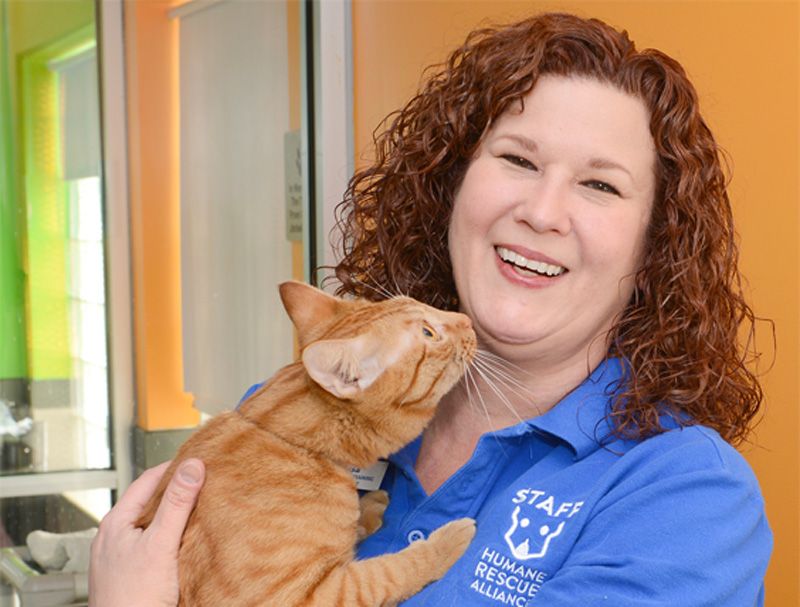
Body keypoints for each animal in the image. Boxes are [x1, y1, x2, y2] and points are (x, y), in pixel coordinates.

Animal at [135, 282, 478, 604]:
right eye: (428, 332)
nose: (466, 319)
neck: (300, 447)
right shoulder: (302, 596)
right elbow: (385, 574)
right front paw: (447, 540)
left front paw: (364, 512)